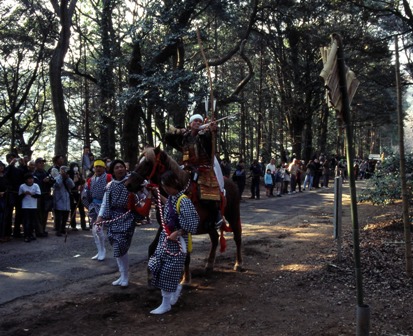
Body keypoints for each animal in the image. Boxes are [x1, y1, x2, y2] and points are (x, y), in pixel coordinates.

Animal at [125, 147, 241, 284]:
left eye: (147, 163)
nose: (128, 184)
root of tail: (232, 183)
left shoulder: (187, 227)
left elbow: (186, 254)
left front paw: (185, 279)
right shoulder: (164, 225)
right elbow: (152, 247)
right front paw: (151, 276)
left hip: (233, 214)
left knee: (237, 236)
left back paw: (238, 264)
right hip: (208, 225)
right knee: (215, 238)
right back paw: (209, 265)